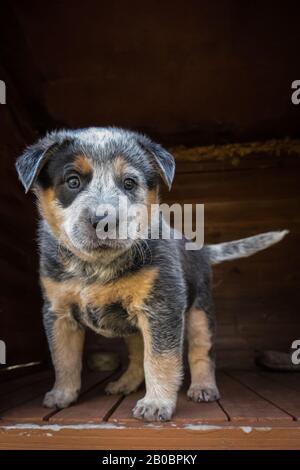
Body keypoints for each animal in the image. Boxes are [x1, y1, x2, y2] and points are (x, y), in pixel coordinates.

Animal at [15, 129, 288, 422]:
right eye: (73, 181)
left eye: (129, 183)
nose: (104, 220)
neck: (95, 267)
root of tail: (201, 249)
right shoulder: (58, 313)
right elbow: (64, 358)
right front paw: (62, 395)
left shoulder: (162, 306)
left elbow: (160, 359)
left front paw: (156, 403)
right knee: (137, 354)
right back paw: (124, 384)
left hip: (200, 311)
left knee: (202, 351)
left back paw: (203, 388)